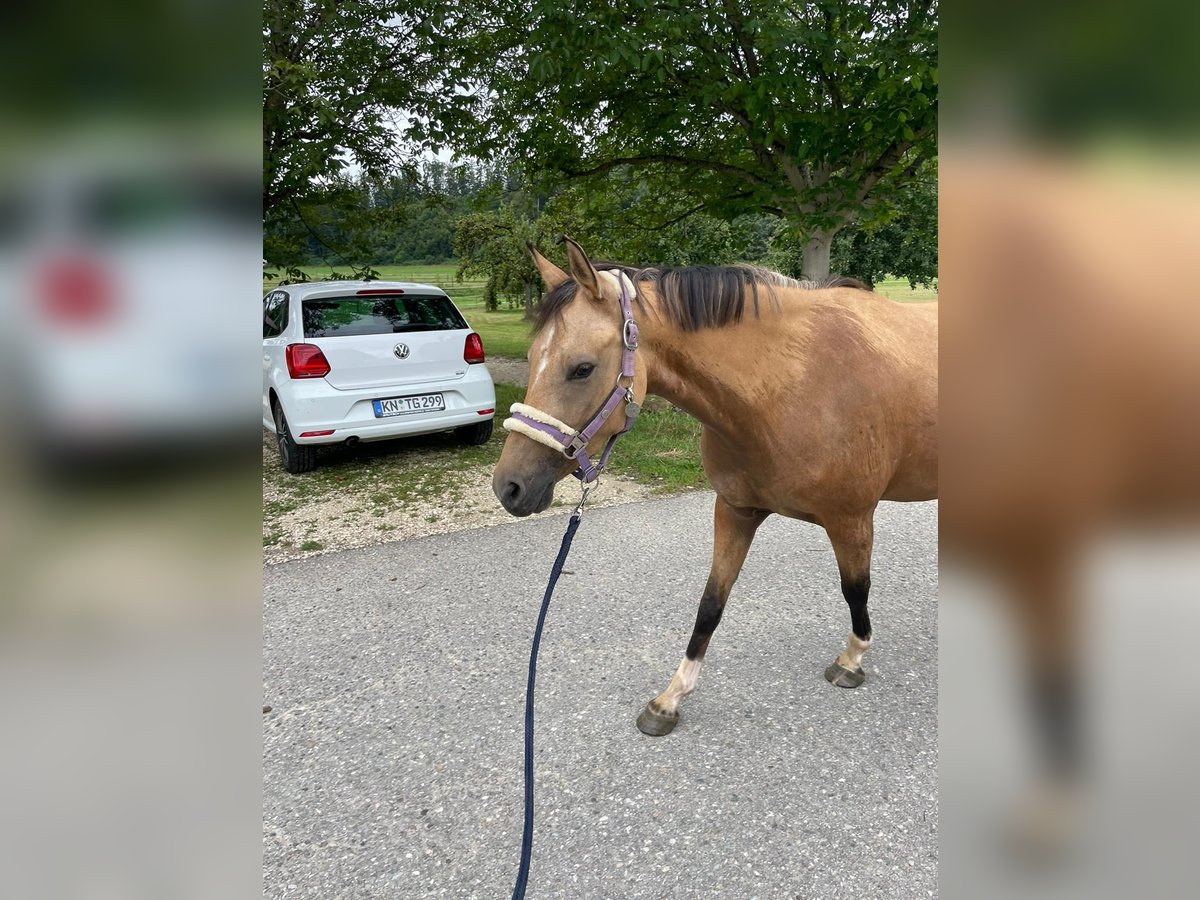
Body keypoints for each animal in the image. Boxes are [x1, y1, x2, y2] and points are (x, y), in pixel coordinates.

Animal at [487, 240, 936, 739]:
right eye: (532, 359)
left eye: (582, 368)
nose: (509, 487)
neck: (793, 385)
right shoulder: (735, 511)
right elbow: (711, 604)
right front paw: (669, 699)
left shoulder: (851, 519)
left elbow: (855, 589)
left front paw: (852, 660)